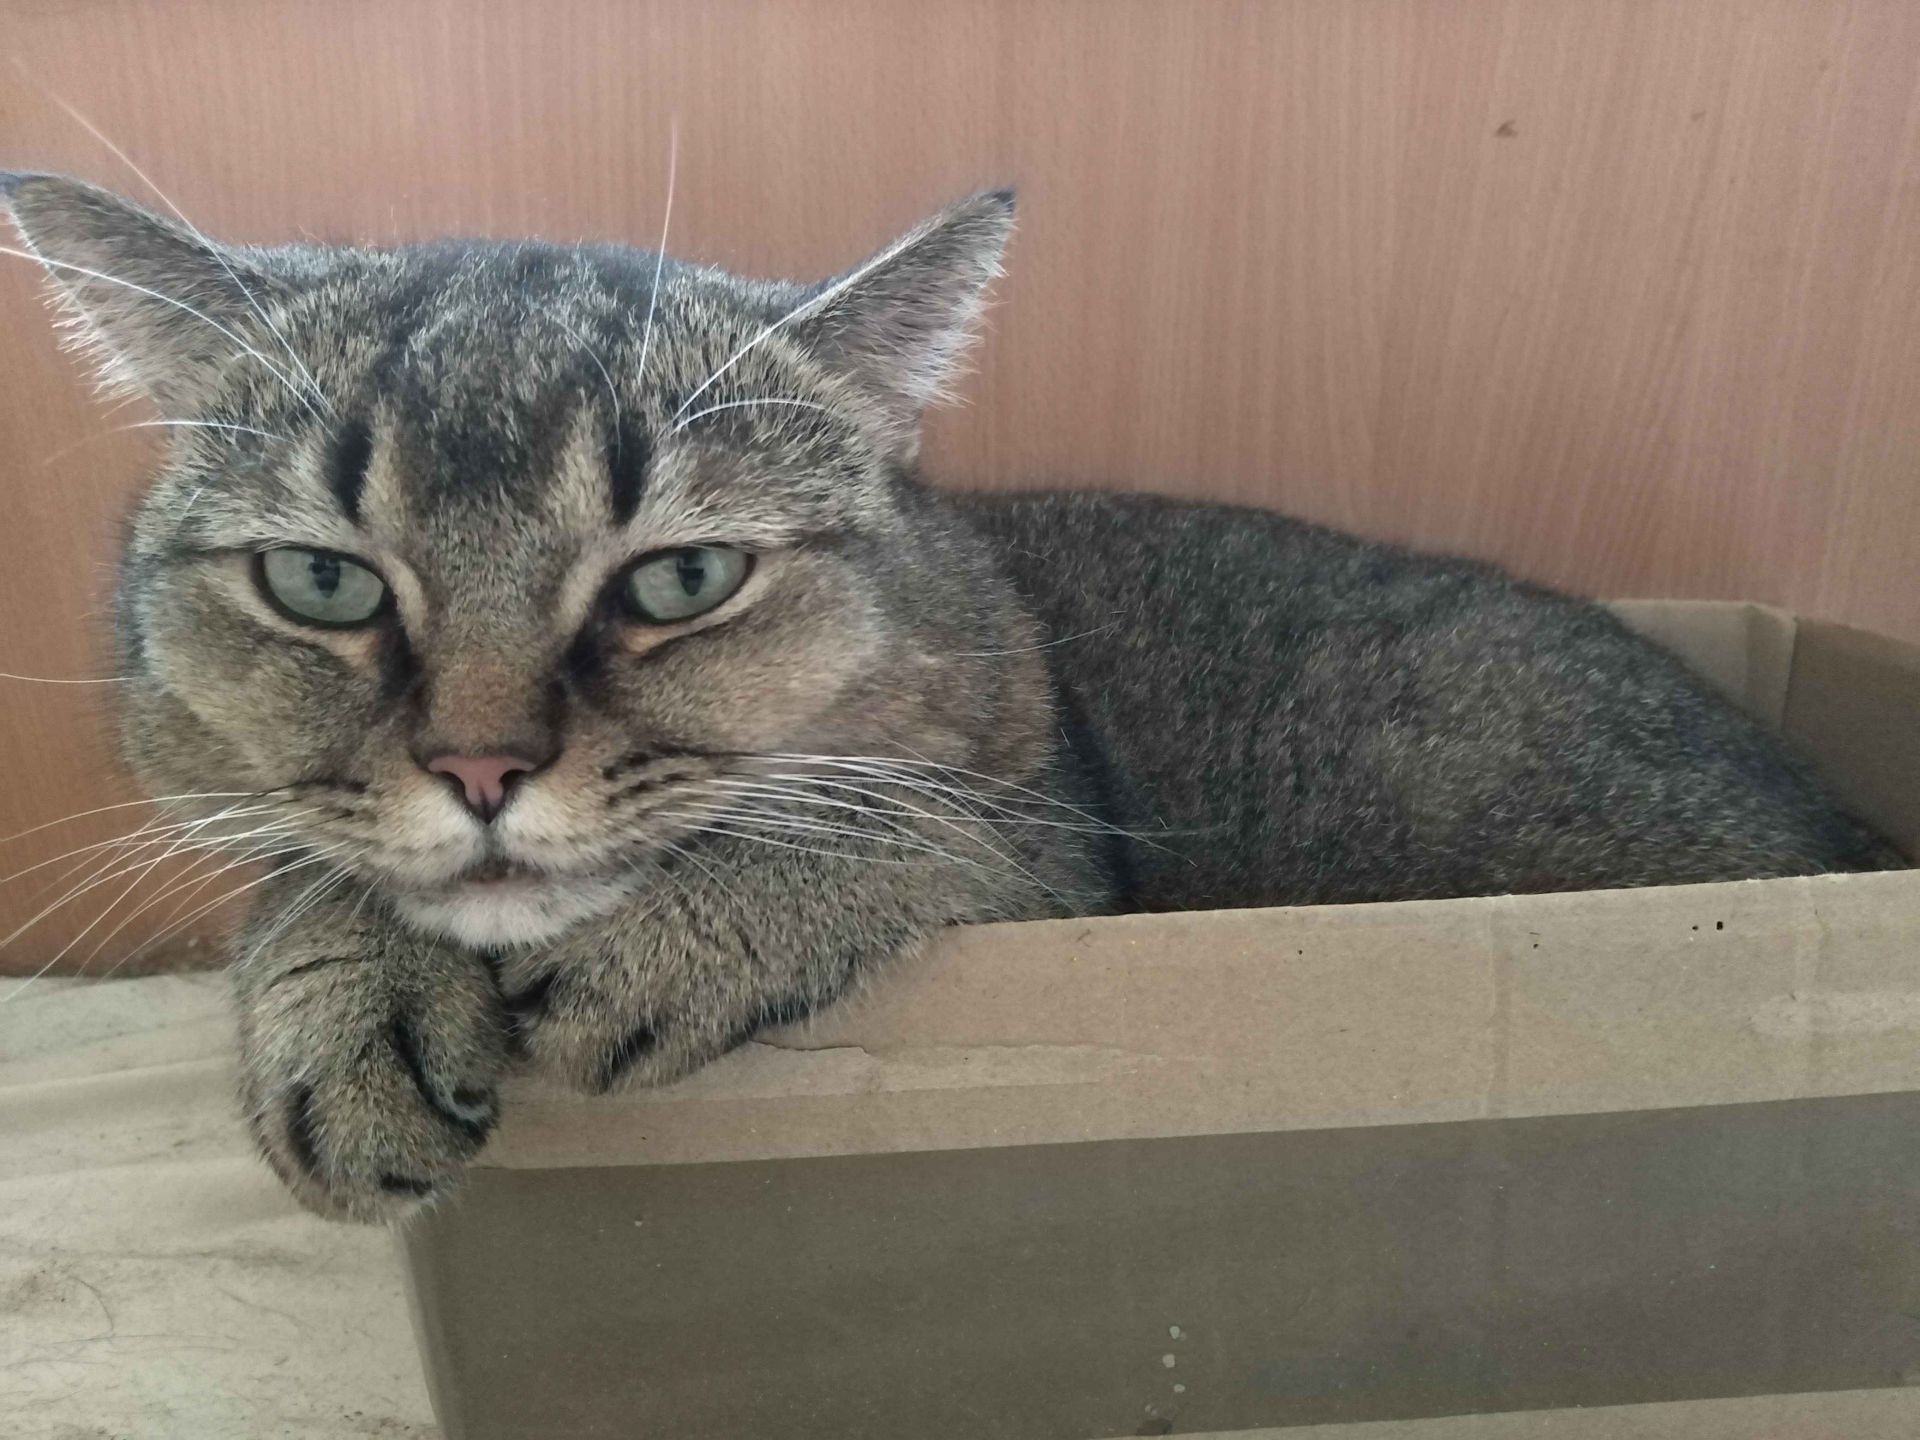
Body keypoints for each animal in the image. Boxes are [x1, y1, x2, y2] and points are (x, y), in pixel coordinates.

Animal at [1, 173, 1900, 1221]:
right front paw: (340, 993)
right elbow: (302, 868)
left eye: (682, 579)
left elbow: (913, 827)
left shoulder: (1059, 860)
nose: (479, 766)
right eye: (320, 583)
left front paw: (679, 935)